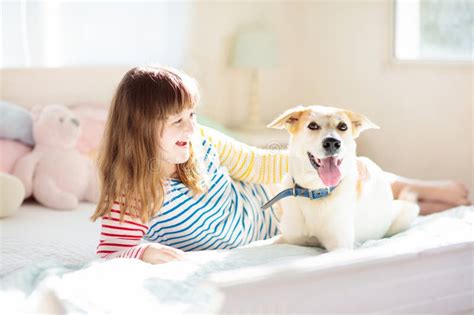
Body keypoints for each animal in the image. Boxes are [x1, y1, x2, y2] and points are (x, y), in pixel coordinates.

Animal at [262, 106, 418, 252]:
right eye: (312, 125)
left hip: (409, 211)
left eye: (343, 126)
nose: (332, 142)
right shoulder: (289, 238)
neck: (316, 190)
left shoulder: (340, 246)